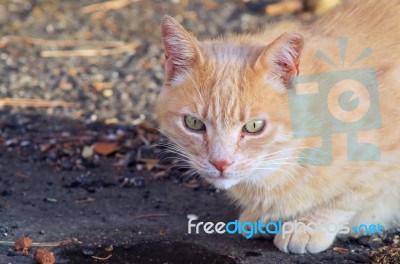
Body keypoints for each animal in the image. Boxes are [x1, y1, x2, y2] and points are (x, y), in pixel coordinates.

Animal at [157, 1, 400, 255]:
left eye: (254, 126)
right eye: (194, 123)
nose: (220, 163)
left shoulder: (386, 159)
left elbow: (347, 198)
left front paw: (308, 225)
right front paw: (266, 215)